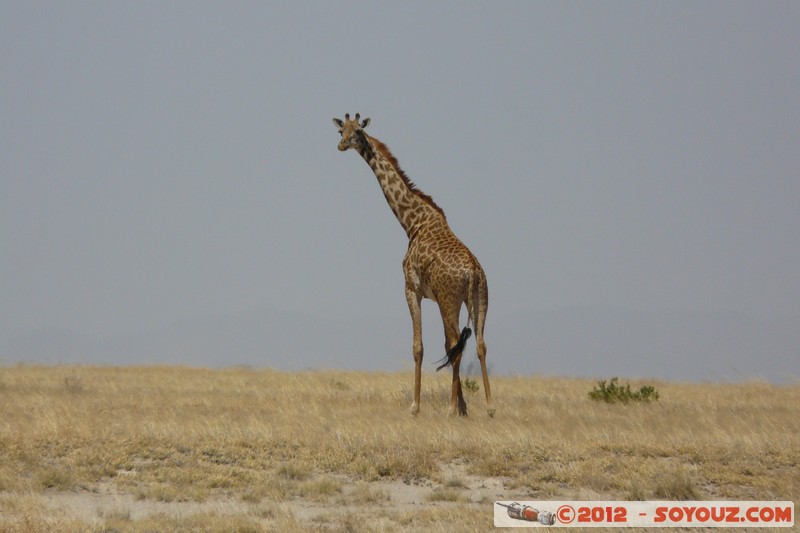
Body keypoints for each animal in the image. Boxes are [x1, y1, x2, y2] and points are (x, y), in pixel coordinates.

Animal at [332, 114, 494, 418]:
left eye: (358, 131)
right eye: (340, 130)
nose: (341, 145)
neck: (412, 222)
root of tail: (473, 273)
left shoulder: (411, 288)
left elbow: (418, 346)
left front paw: (416, 406)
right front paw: (464, 408)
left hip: (449, 300)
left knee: (455, 344)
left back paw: (450, 408)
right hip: (480, 299)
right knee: (479, 344)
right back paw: (489, 407)